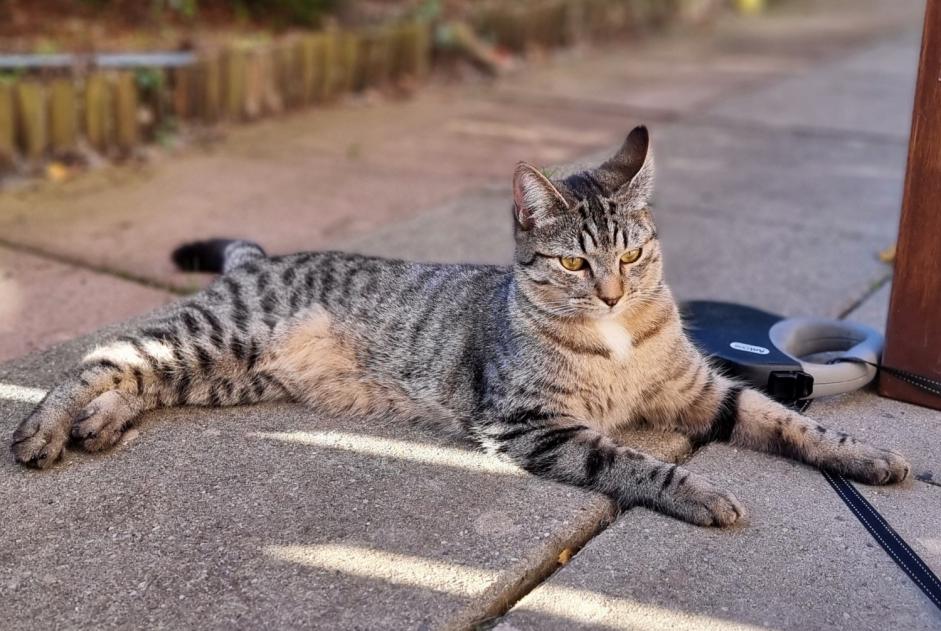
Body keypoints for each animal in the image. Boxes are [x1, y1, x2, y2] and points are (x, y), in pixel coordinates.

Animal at [7, 126, 908, 524]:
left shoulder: (703, 393)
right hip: (214, 337)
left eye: (633, 251)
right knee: (97, 360)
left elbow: (788, 420)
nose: (613, 293)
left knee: (136, 381)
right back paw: (47, 428)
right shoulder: (534, 424)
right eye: (574, 264)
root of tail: (260, 258)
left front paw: (866, 455)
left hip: (220, 374)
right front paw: (697, 490)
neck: (616, 342)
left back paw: (100, 424)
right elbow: (630, 462)